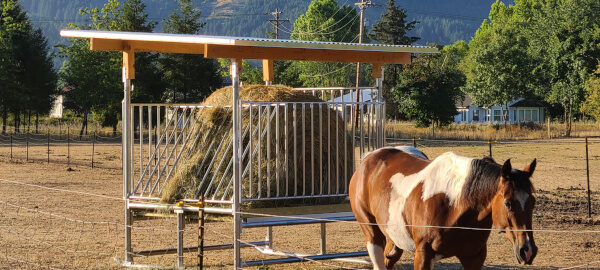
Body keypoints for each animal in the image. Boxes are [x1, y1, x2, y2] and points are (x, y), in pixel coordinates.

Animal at [350, 147, 536, 268]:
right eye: (508, 203)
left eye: (533, 202)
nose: (527, 250)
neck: (456, 204)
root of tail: (369, 158)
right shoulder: (423, 256)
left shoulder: (473, 257)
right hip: (373, 236)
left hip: (393, 237)